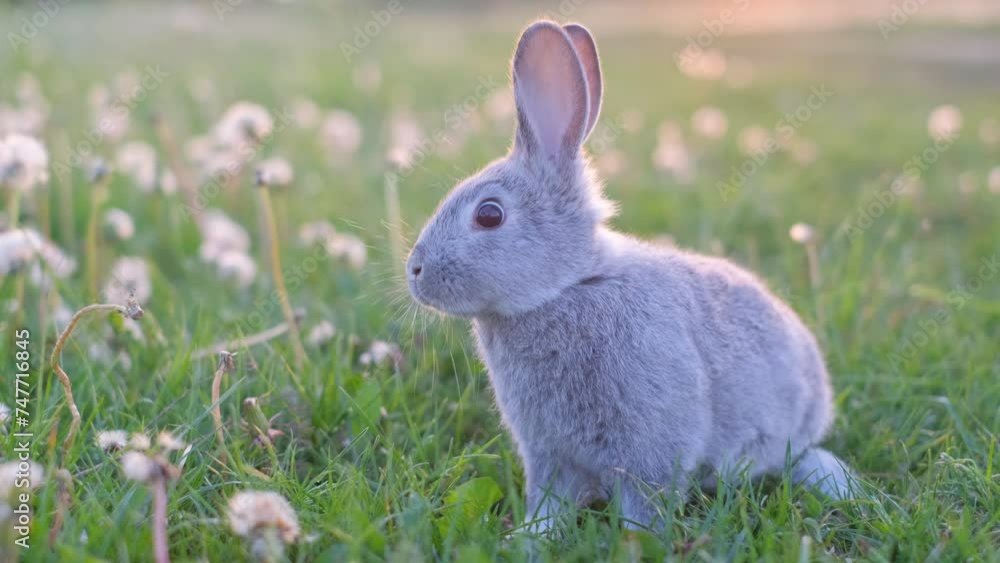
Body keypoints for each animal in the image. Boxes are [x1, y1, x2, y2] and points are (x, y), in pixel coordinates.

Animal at [405, 20, 854, 531]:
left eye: (489, 215)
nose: (414, 271)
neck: (569, 286)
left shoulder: (649, 445)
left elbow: (645, 501)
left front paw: (639, 538)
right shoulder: (548, 452)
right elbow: (549, 500)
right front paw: (531, 534)